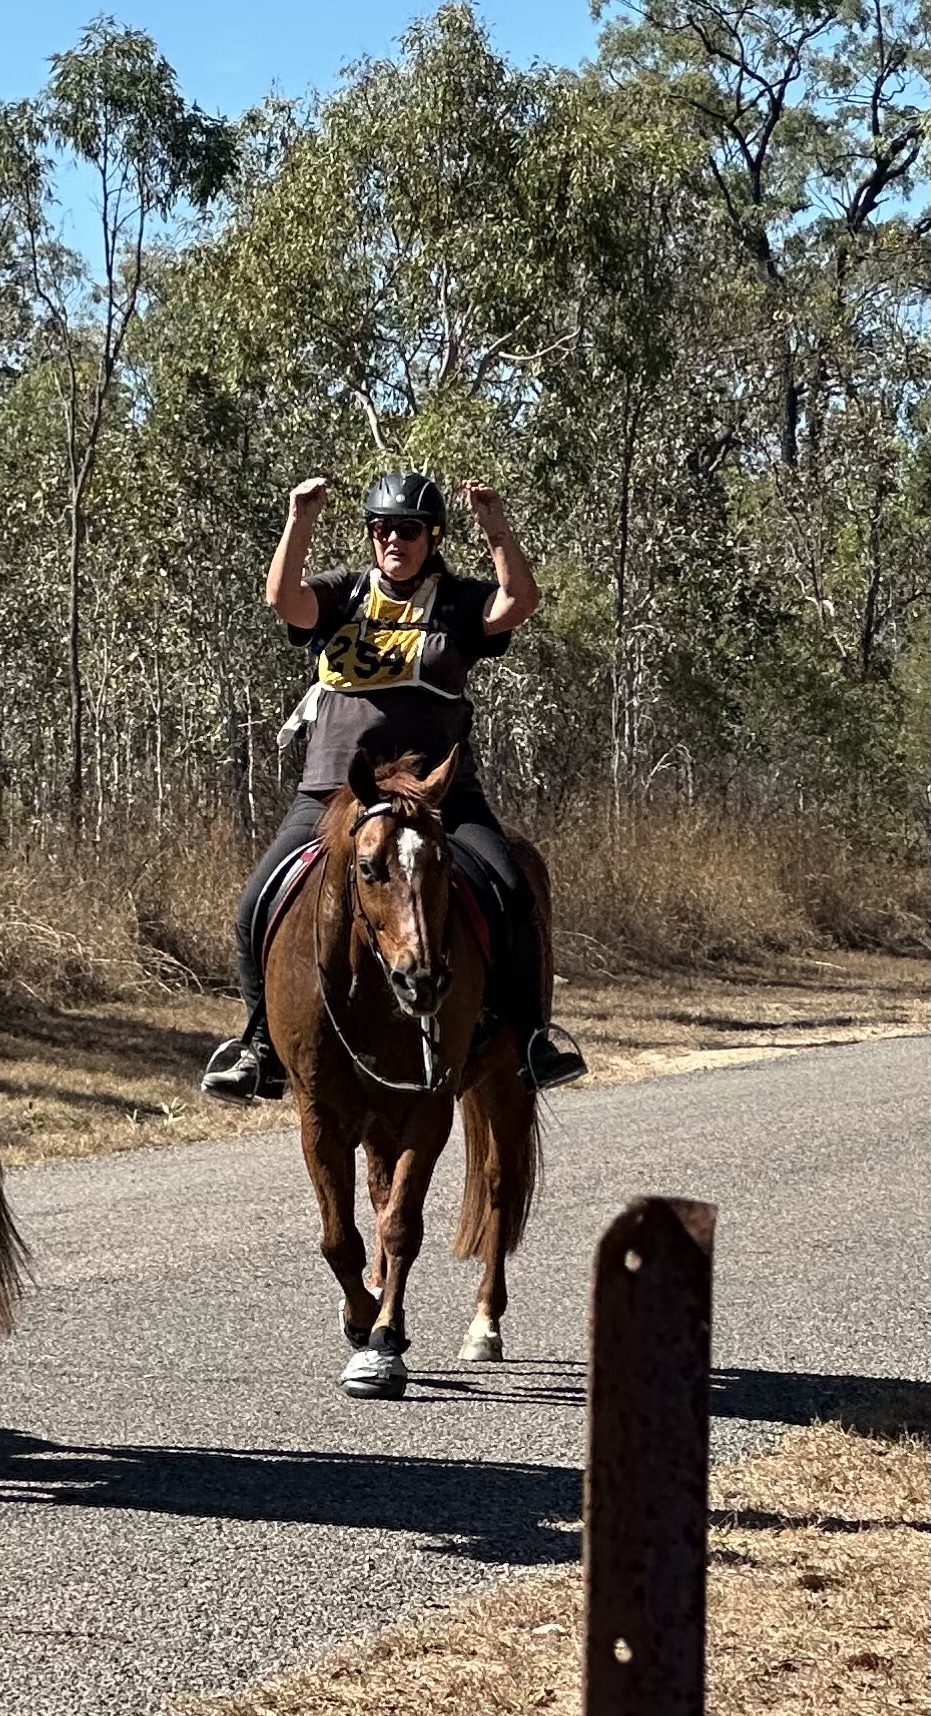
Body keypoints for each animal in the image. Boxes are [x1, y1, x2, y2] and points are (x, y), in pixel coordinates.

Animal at [264, 744, 548, 1400]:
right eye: (369, 868)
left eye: (443, 866)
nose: (423, 981)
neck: (368, 988)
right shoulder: (321, 1115)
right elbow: (340, 1235)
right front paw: (360, 1315)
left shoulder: (428, 1109)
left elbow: (401, 1226)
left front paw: (383, 1341)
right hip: (377, 1118)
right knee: (377, 1190)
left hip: (504, 1083)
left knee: (498, 1186)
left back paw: (484, 1325)